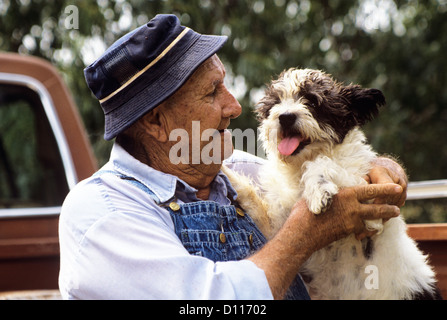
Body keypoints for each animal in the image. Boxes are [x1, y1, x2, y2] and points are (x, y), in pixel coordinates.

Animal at [226, 68, 442, 300]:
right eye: (276, 102)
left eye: (312, 101)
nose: (285, 117)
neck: (298, 169)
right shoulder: (275, 229)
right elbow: (251, 197)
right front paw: (224, 172)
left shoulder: (369, 204)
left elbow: (322, 164)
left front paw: (318, 191)